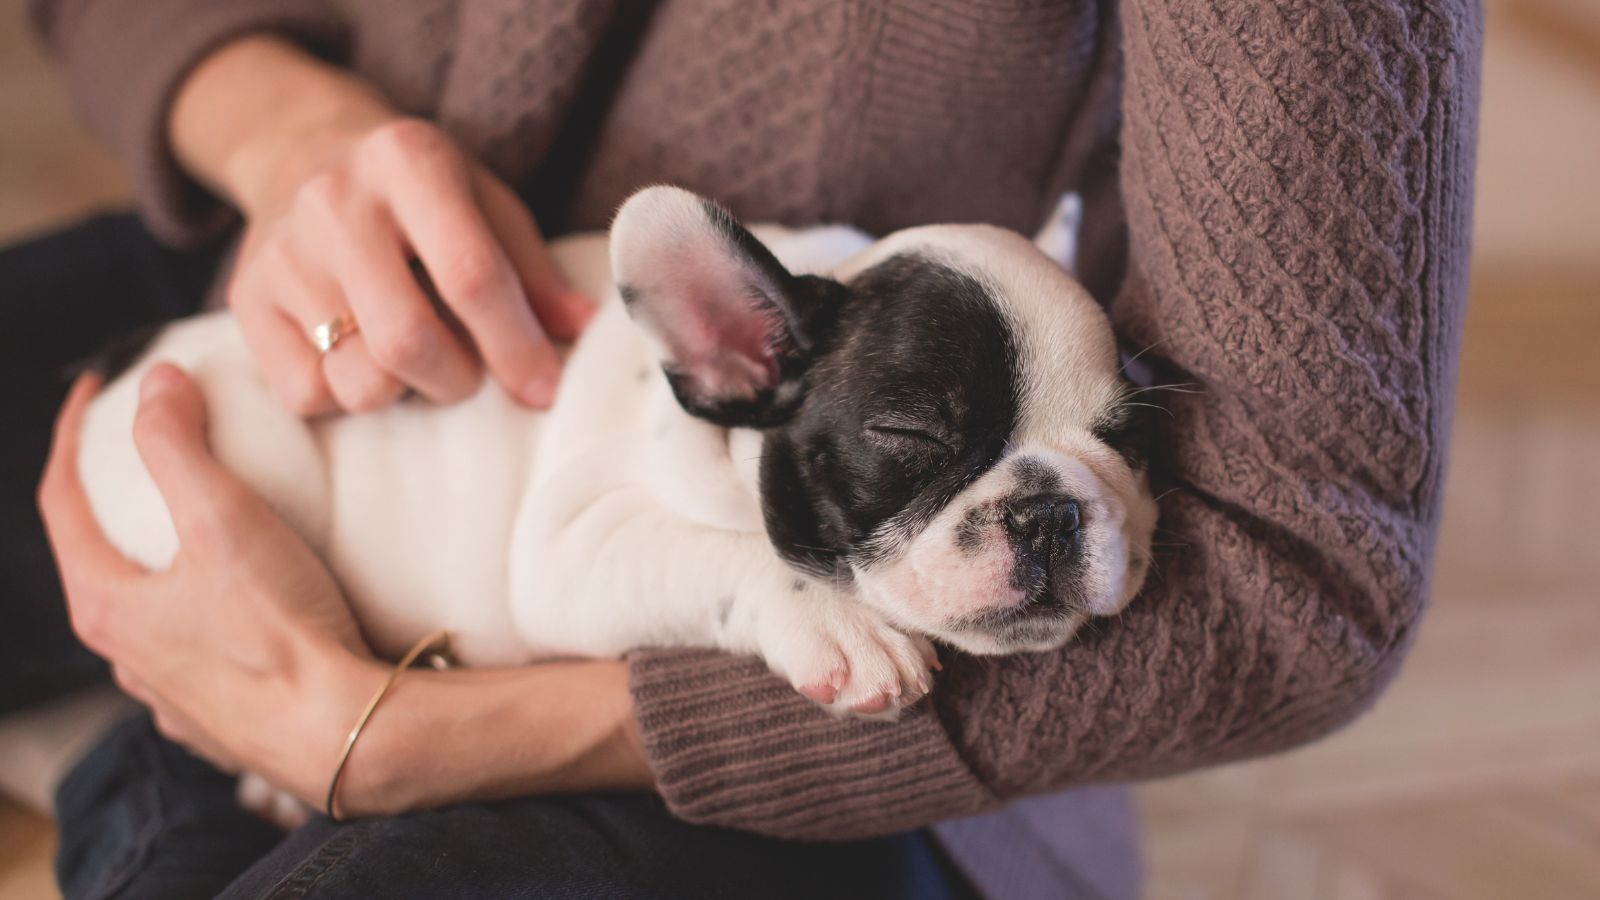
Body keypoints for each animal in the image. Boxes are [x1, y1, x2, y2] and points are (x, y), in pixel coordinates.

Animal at [78, 184, 1152, 730]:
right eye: (911, 435)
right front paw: (841, 626)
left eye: (1126, 437)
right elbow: (725, 552)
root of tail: (124, 360)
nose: (1051, 509)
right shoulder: (569, 547)